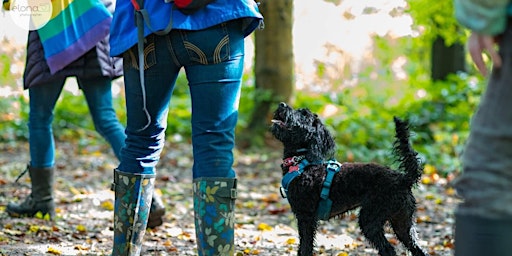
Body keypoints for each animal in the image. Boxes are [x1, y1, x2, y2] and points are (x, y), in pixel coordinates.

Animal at [272, 102, 428, 256]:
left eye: (303, 114)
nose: (281, 104)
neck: (301, 162)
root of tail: (403, 179)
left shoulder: (306, 217)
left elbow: (305, 248)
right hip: (402, 222)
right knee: (417, 249)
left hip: (371, 218)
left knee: (389, 250)